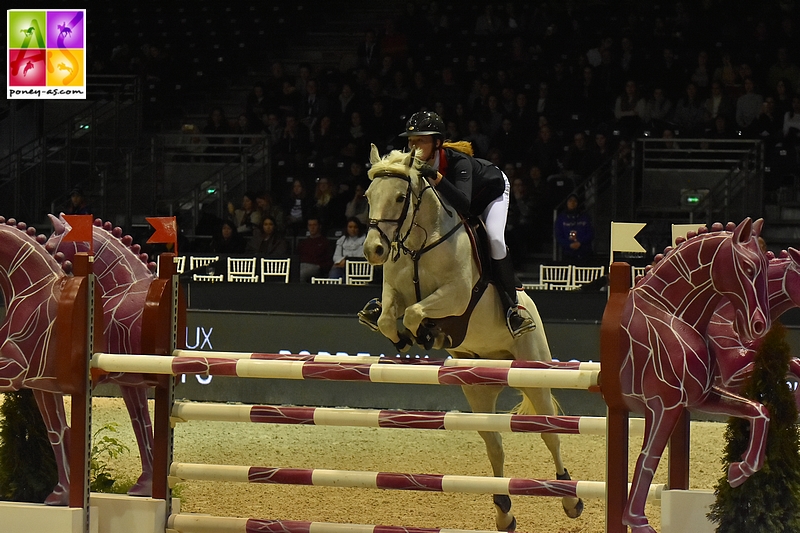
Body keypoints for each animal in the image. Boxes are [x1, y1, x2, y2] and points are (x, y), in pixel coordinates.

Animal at [362, 143, 580, 528]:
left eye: (401, 197)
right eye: (369, 196)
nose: (374, 250)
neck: (419, 243)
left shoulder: (457, 295)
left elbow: (416, 312)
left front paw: (427, 334)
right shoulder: (394, 293)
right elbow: (389, 317)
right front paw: (405, 338)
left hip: (534, 372)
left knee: (549, 434)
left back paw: (570, 498)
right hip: (478, 387)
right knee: (494, 442)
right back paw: (504, 511)